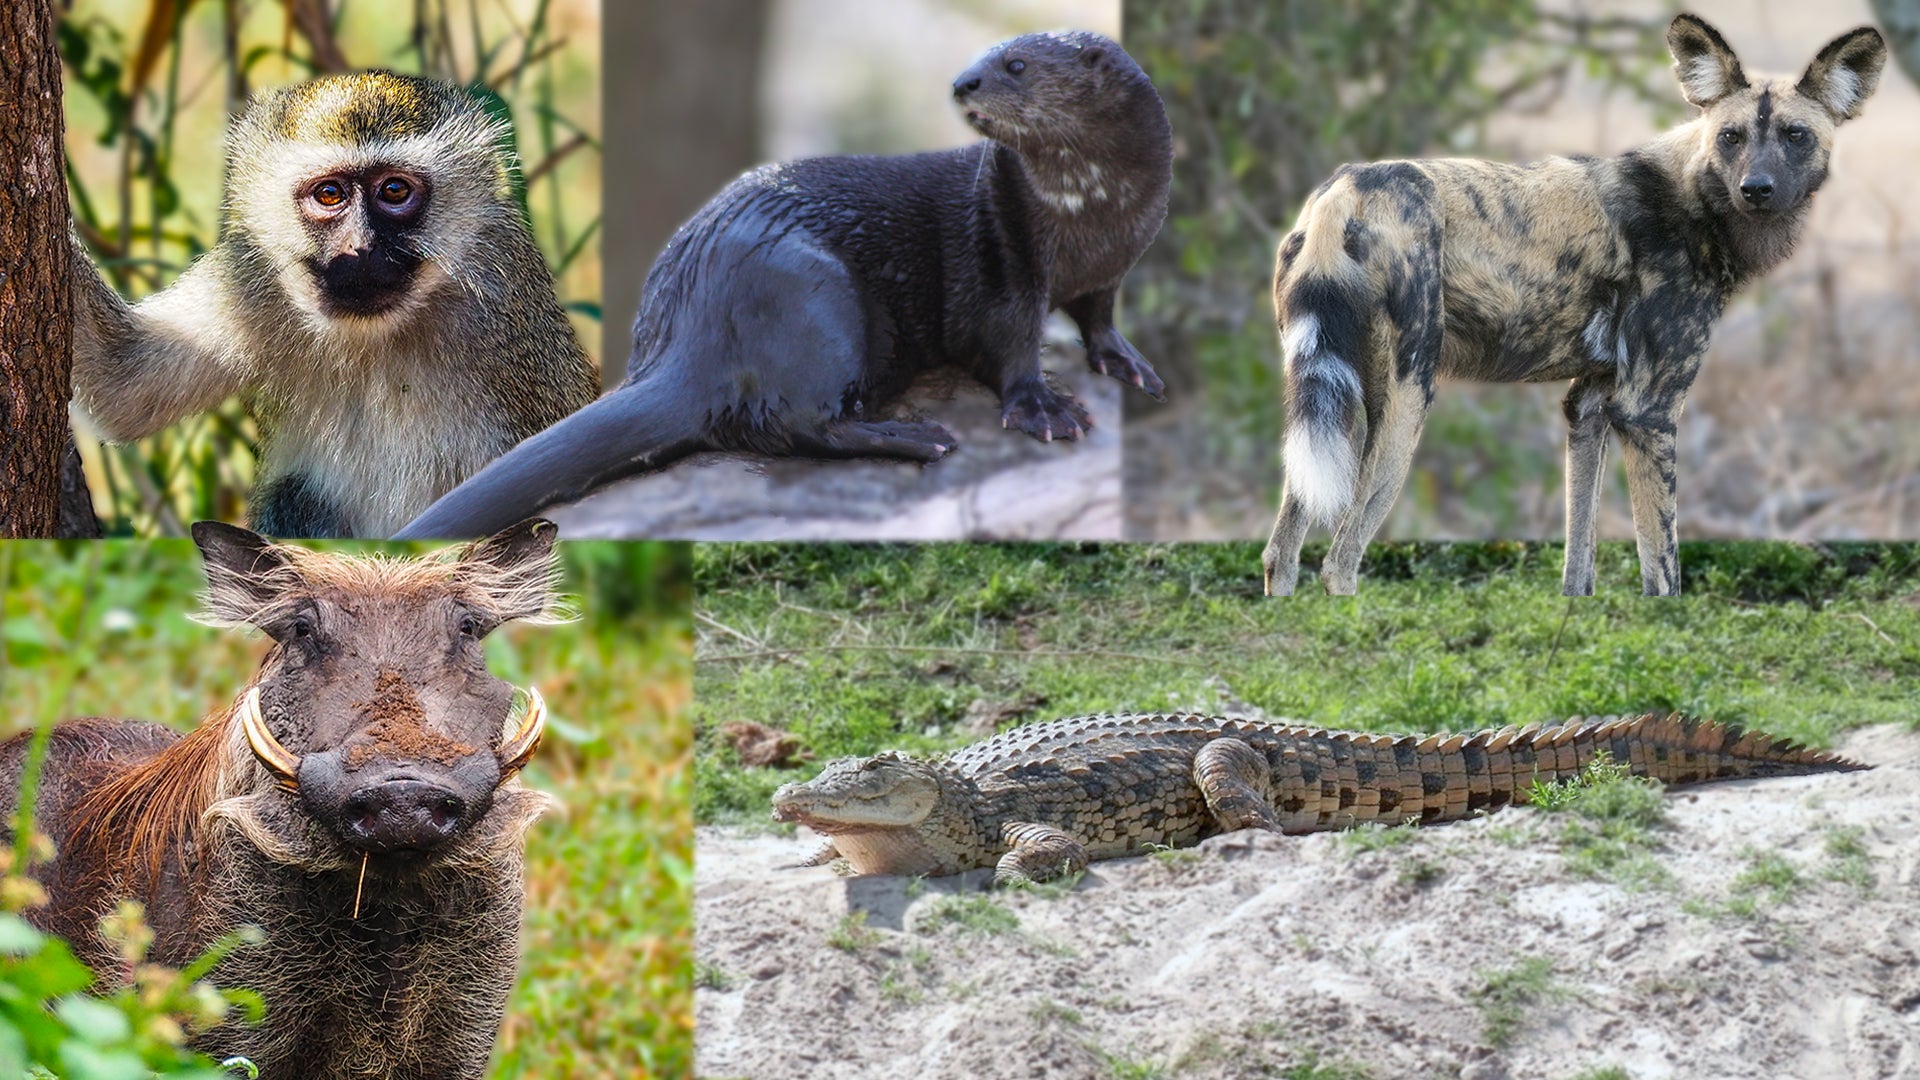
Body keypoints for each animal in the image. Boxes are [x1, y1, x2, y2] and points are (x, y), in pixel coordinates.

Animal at [0, 518, 564, 1068]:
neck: (385, 897)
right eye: (301, 629)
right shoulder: (233, 1018)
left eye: (468, 627)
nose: (402, 795)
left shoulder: (466, 1026)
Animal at [393, 30, 1167, 538]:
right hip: (818, 301)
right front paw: (1045, 407)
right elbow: (1007, 343)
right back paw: (911, 436)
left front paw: (1129, 363)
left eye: (1015, 63)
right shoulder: (1003, 256)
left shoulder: (1115, 267)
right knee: (797, 425)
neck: (1091, 221)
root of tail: (688, 329)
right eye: (980, 62)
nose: (962, 85)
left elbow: (1100, 318)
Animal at [1259, 12, 1889, 591]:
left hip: (1328, 402)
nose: (1756, 189)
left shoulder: (1590, 405)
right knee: (1340, 561)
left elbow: (1578, 563)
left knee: (1282, 551)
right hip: (1407, 400)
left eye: (1795, 136)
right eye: (1730, 137)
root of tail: (1348, 187)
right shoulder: (1648, 411)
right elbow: (1662, 568)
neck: (1696, 200)